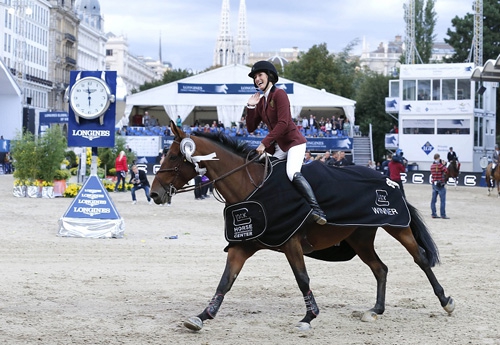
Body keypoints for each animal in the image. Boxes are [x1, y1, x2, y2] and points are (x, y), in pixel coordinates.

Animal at [150, 121, 456, 330]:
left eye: (174, 156)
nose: (154, 194)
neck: (251, 187)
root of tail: (388, 179)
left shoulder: (291, 243)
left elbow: (302, 279)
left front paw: (309, 316)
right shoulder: (242, 245)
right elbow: (225, 281)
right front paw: (203, 316)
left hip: (397, 227)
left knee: (420, 260)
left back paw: (445, 301)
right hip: (359, 237)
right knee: (380, 268)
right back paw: (376, 310)